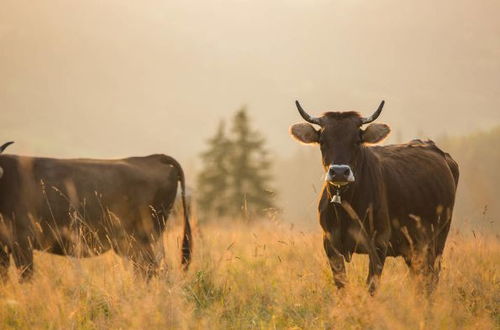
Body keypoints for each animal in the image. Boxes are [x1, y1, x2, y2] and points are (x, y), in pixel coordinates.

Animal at [292, 100, 458, 294]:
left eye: (357, 141)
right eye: (323, 141)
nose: (339, 172)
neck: (346, 207)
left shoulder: (379, 242)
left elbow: (371, 285)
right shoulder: (330, 243)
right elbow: (341, 284)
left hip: (438, 238)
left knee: (431, 277)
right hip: (413, 246)